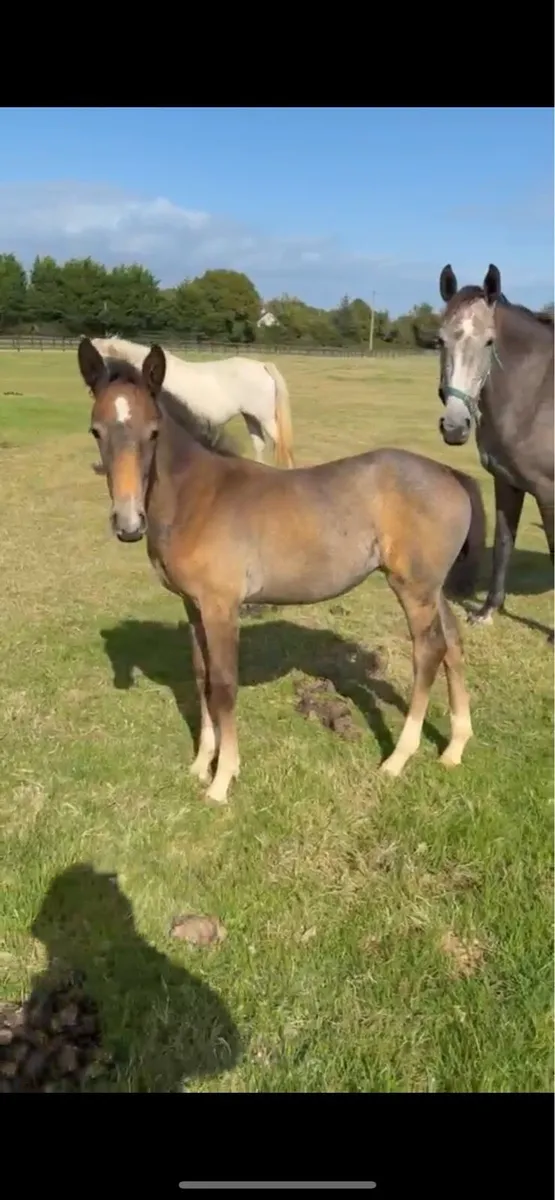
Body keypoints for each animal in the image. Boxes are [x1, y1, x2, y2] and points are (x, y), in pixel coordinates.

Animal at [430, 263, 554, 640]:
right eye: (440, 340)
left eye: (489, 341)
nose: (455, 426)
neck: (537, 398)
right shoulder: (507, 482)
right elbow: (503, 544)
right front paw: (487, 611)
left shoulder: (548, 491)